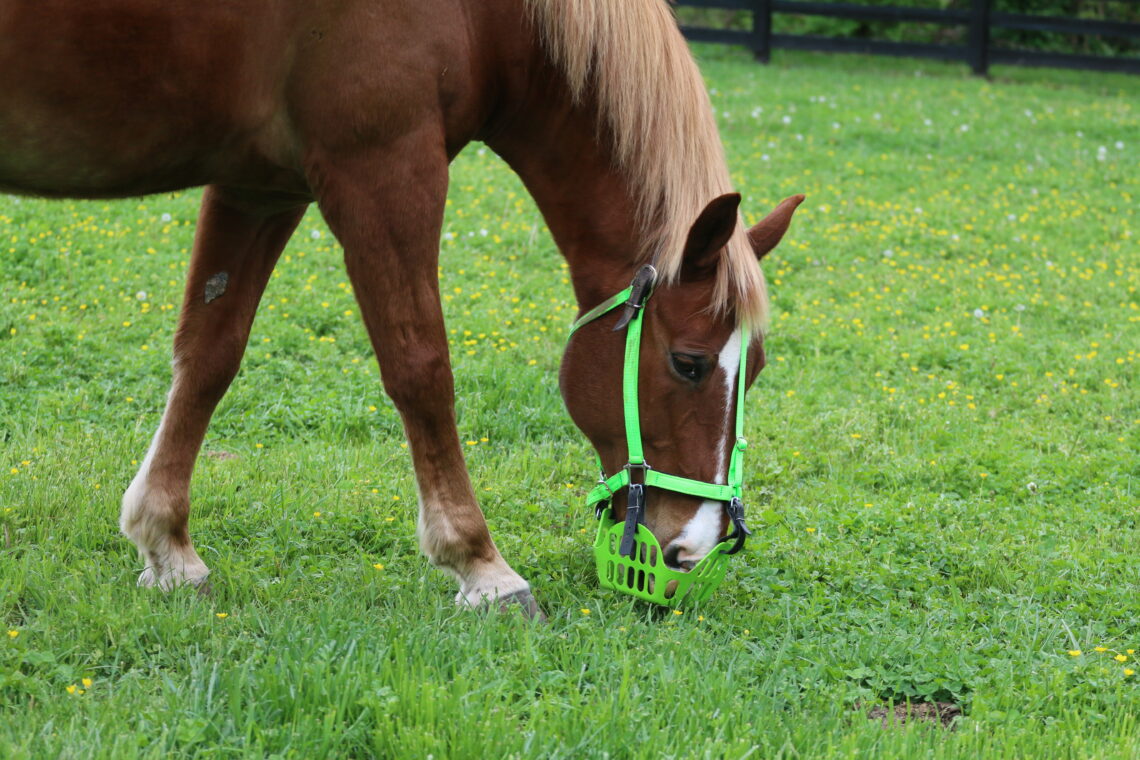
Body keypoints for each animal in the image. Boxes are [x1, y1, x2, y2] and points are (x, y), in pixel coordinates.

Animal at [2, 0, 802, 615]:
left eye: (757, 369)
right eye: (689, 364)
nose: (694, 548)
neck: (488, 16)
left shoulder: (259, 186)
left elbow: (208, 355)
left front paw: (166, 546)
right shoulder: (385, 168)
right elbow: (421, 368)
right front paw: (480, 565)